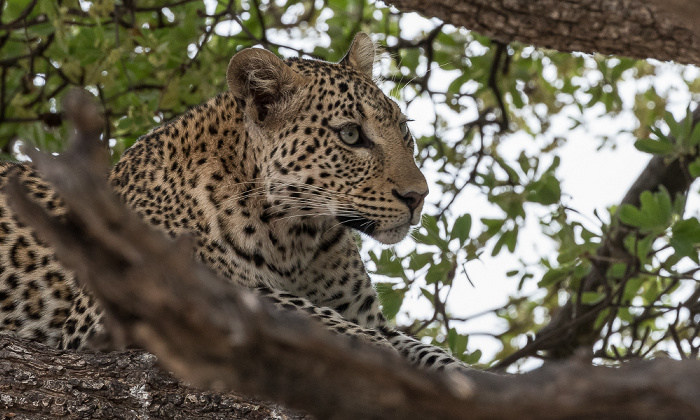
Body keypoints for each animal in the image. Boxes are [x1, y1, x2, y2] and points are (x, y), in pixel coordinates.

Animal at [0, 33, 470, 374]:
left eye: (404, 131)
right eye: (351, 134)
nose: (419, 196)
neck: (295, 236)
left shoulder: (369, 316)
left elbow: (431, 354)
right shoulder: (110, 312)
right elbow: (274, 305)